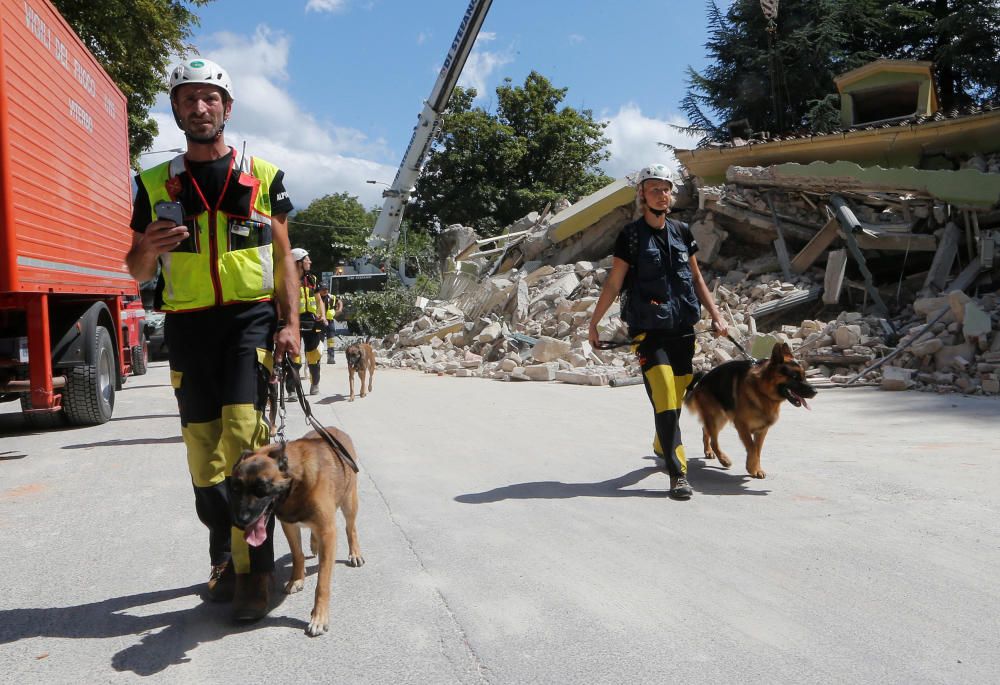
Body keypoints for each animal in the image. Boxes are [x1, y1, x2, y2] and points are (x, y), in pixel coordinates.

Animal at [229, 428, 366, 636]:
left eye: (262, 488)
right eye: (236, 489)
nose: (241, 521)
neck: (295, 483)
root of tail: (336, 430)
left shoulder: (328, 532)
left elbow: (322, 583)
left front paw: (319, 617)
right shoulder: (289, 525)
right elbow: (297, 555)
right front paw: (296, 579)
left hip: (349, 503)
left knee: (351, 529)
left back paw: (355, 553)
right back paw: (314, 544)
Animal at [684, 340, 816, 478]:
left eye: (804, 376)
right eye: (794, 377)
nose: (815, 392)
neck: (762, 391)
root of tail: (703, 378)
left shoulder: (762, 430)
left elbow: (757, 449)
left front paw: (756, 468)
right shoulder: (742, 425)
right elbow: (752, 448)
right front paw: (751, 468)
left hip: (720, 418)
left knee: (705, 430)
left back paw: (708, 451)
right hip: (717, 417)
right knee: (714, 441)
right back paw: (724, 459)